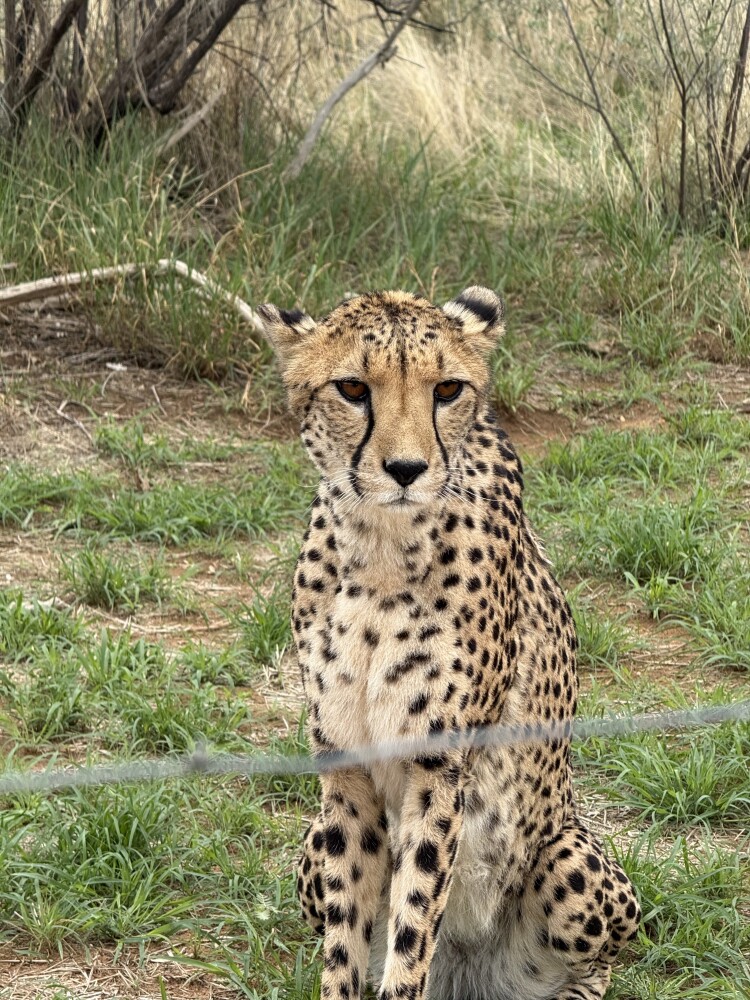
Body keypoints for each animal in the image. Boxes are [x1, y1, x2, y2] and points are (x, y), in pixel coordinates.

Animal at [258, 286, 640, 1000]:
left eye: (447, 389)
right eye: (352, 388)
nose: (406, 469)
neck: (381, 548)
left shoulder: (439, 767)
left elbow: (412, 926)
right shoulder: (344, 769)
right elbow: (348, 938)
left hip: (568, 863)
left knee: (603, 961)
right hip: (310, 848)